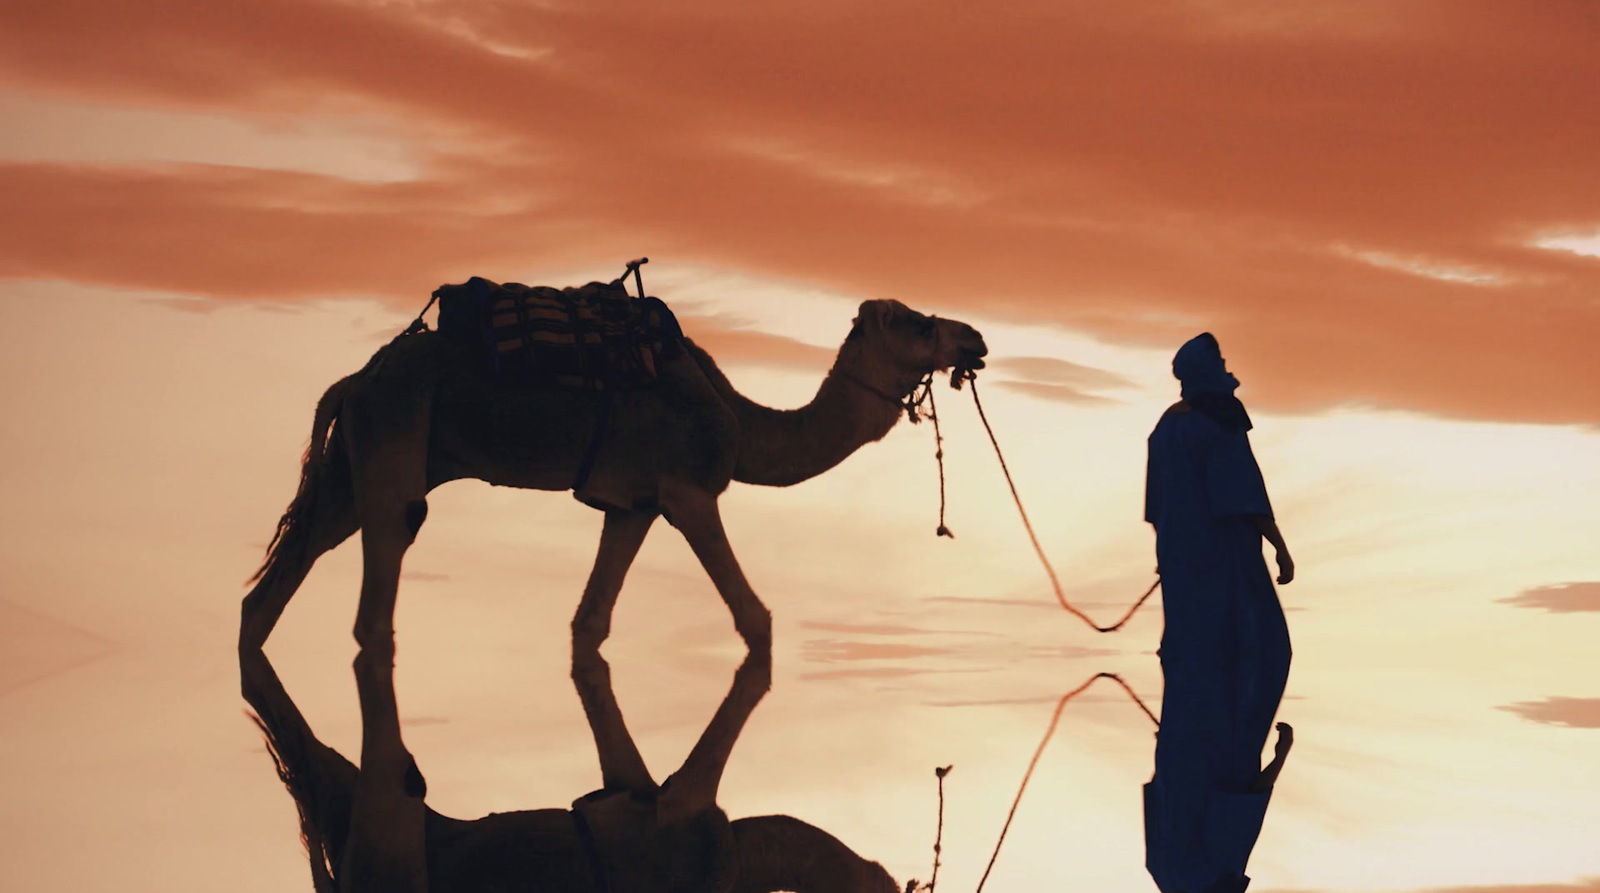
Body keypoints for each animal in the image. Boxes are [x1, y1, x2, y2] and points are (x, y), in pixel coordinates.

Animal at [240, 292, 985, 649]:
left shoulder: (633, 503)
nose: (975, 337)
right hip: (394, 435)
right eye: (918, 323)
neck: (739, 421)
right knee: (381, 577)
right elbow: (756, 617)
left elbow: (590, 620)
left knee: (276, 582)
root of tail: (354, 381)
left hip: (352, 463)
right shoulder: (690, 490)